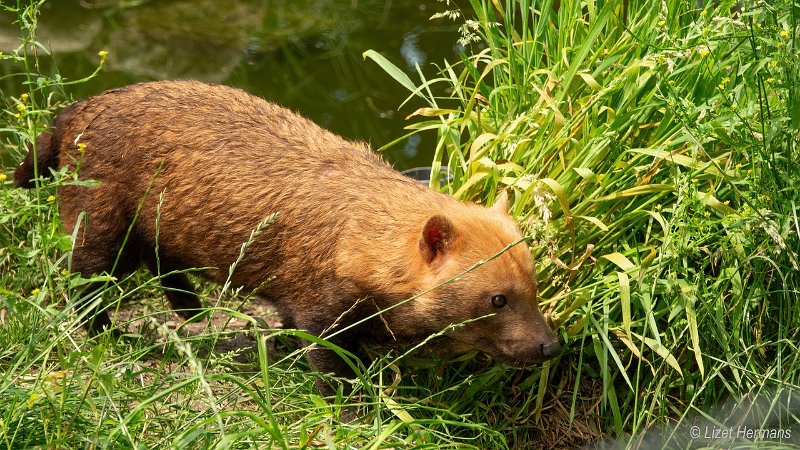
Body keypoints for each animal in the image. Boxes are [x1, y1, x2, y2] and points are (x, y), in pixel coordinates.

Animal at [14, 80, 564, 394]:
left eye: (535, 288)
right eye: (497, 298)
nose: (551, 346)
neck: (356, 234)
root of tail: (71, 113)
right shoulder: (319, 308)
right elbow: (326, 363)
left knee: (164, 266)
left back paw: (193, 313)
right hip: (100, 223)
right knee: (85, 282)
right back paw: (108, 333)